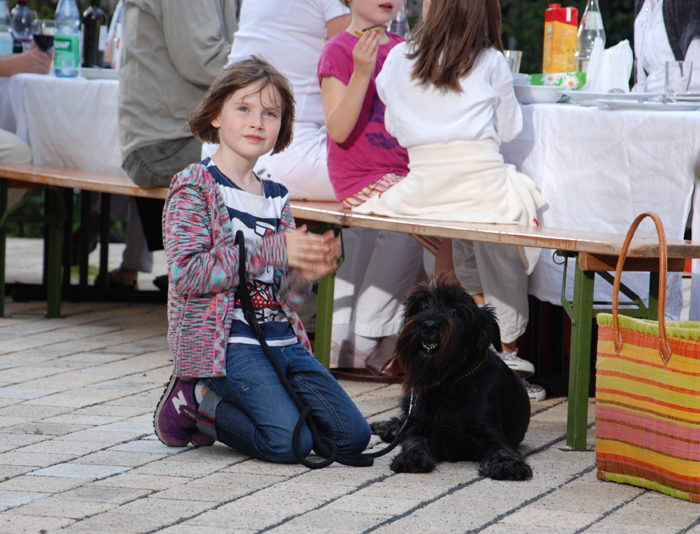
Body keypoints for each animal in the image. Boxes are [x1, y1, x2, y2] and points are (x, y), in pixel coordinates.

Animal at [372, 280, 532, 482]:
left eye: (455, 310)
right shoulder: (420, 428)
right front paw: (412, 456)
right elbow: (414, 440)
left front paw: (507, 464)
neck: (450, 382)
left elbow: (502, 449)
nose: (428, 325)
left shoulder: (492, 432)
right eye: (422, 306)